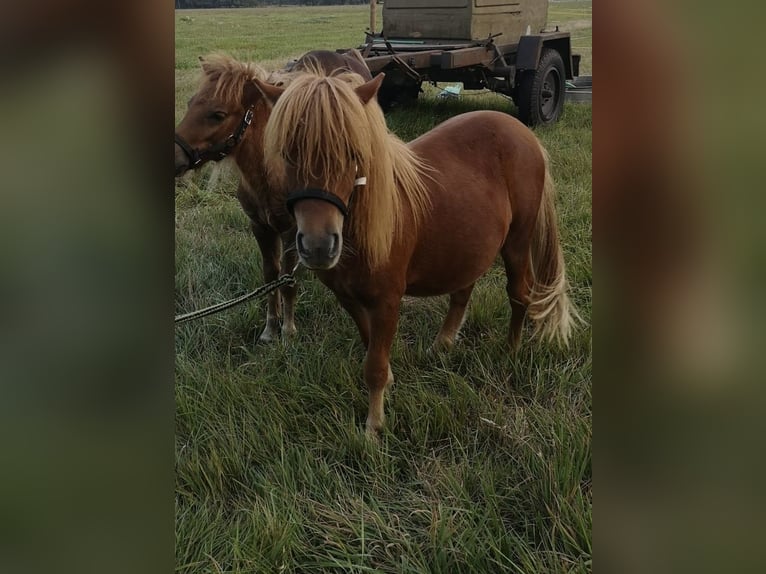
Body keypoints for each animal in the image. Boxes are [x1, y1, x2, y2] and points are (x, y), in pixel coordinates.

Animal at [178, 50, 376, 342]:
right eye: (190, 103)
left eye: (218, 114)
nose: (174, 156)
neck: (269, 176)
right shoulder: (260, 227)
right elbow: (271, 276)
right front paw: (271, 328)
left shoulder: (291, 231)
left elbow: (287, 281)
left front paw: (289, 328)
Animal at [260, 72, 584, 434]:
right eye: (287, 153)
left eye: (353, 152)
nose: (318, 246)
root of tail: (525, 133)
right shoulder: (348, 298)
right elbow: (369, 345)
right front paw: (388, 384)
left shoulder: (388, 301)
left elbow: (374, 364)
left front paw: (373, 427)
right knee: (462, 291)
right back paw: (442, 344)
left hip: (517, 243)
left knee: (519, 294)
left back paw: (511, 350)